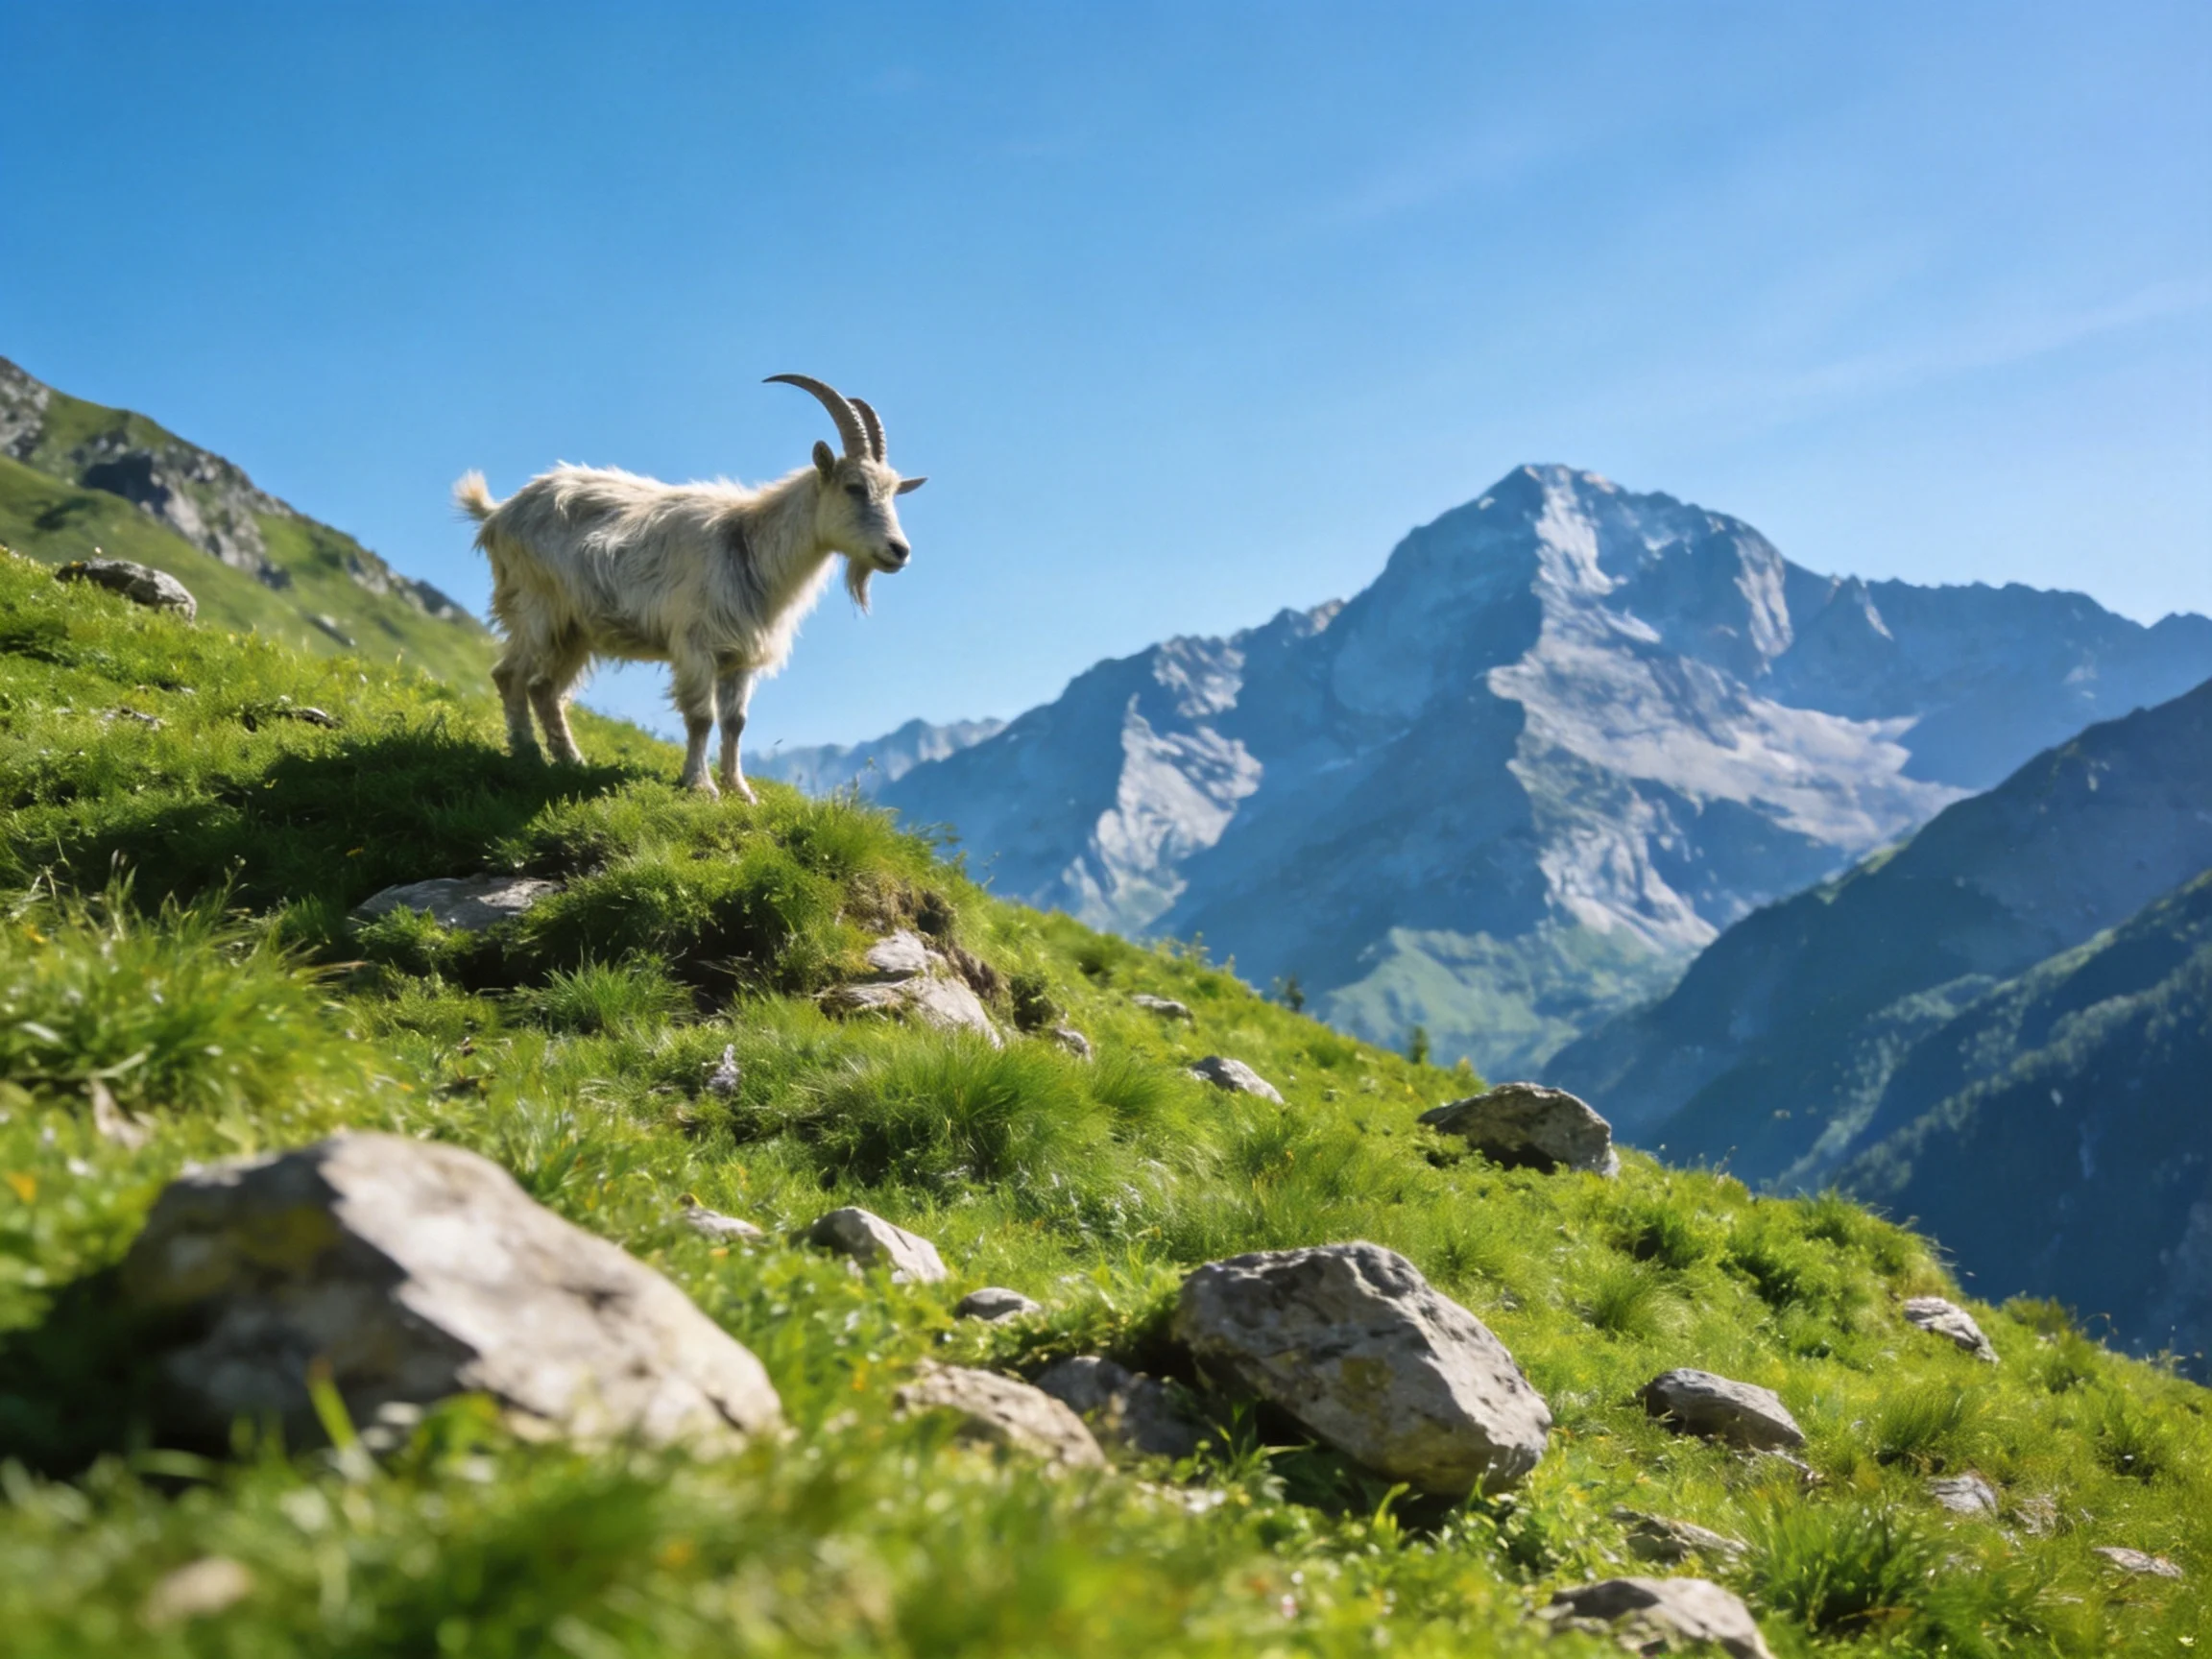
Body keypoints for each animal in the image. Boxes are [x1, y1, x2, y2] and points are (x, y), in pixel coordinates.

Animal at [455, 375, 924, 801]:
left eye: (893, 494)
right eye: (854, 487)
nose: (899, 551)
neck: (749, 543)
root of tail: (498, 513)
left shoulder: (739, 656)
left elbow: (736, 723)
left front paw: (741, 791)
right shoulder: (696, 643)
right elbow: (702, 717)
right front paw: (700, 786)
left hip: (574, 630)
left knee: (544, 688)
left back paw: (570, 760)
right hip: (536, 609)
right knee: (510, 675)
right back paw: (527, 753)